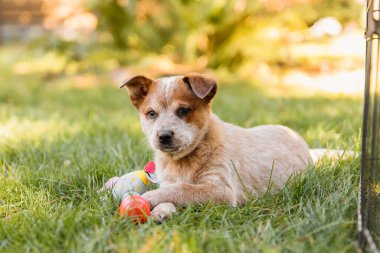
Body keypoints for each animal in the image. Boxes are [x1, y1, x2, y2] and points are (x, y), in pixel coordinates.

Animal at [120, 73, 314, 221]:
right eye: (151, 113)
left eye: (183, 110)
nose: (164, 136)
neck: (182, 162)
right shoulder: (168, 182)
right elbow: (169, 191)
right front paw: (160, 211)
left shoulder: (222, 190)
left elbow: (182, 188)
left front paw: (143, 198)